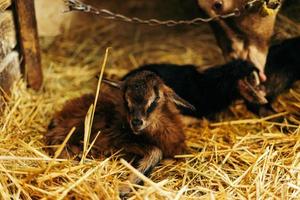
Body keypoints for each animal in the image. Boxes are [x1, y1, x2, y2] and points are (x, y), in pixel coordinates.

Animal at [45, 70, 193, 195]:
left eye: (156, 99)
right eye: (126, 100)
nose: (136, 122)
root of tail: (62, 112)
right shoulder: (117, 139)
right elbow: (156, 151)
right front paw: (125, 188)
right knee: (54, 137)